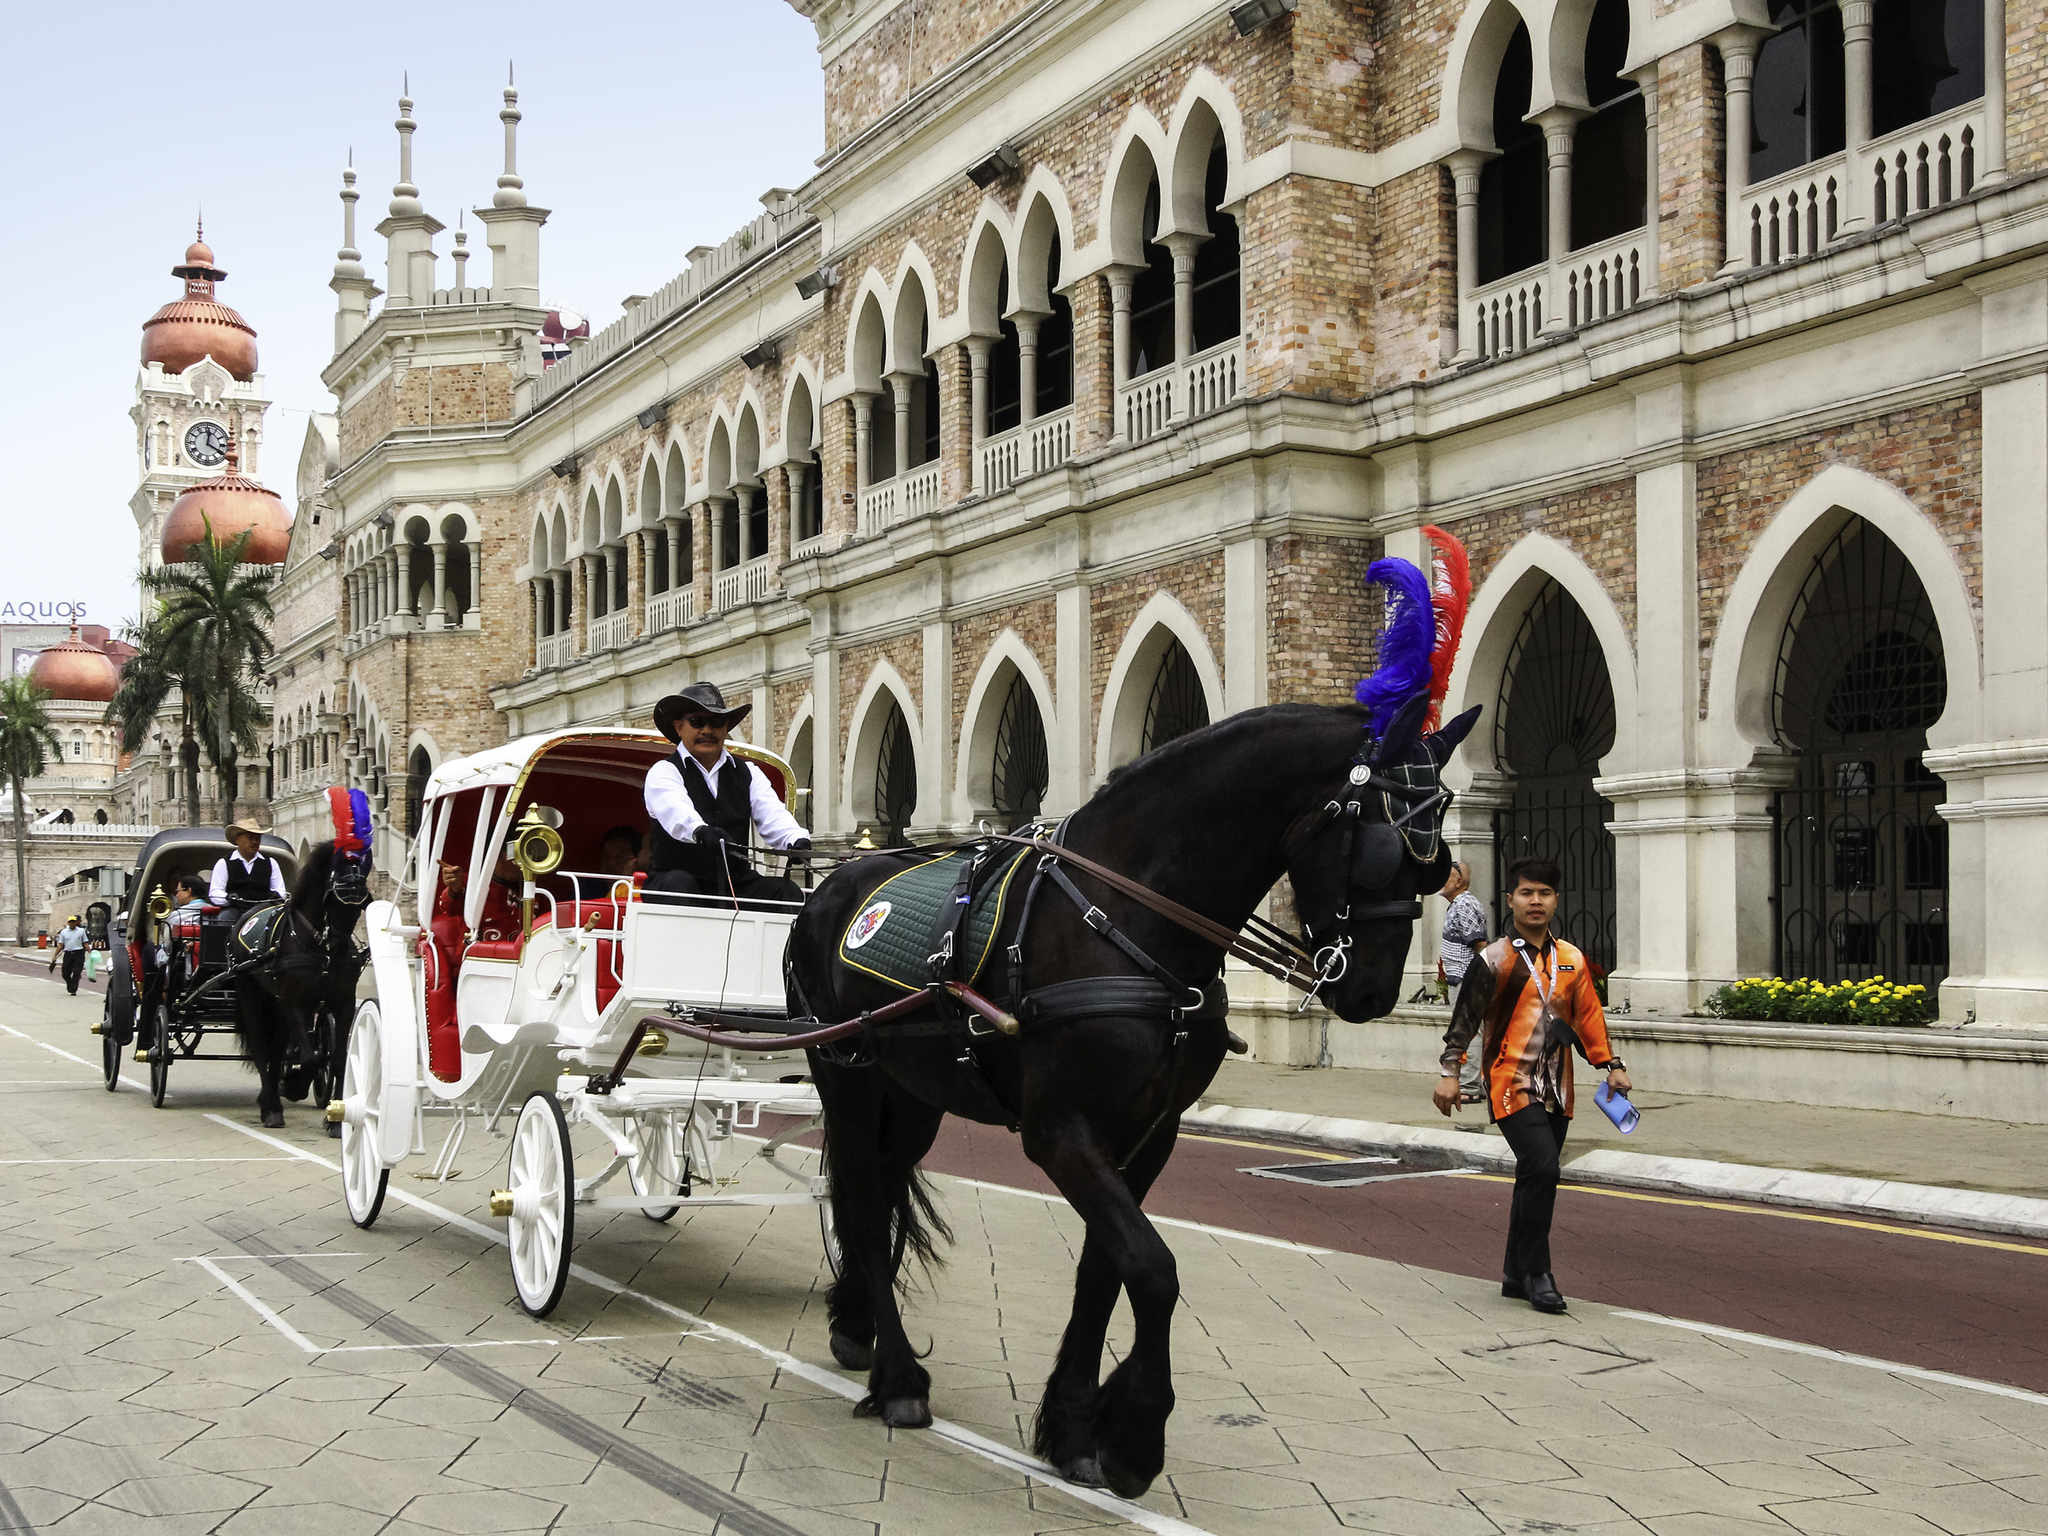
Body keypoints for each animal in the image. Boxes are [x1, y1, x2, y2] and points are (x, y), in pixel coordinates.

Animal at [232, 843, 372, 1130]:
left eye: (359, 904)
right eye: (331, 899)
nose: (339, 948)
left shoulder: (342, 1003)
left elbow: (338, 1058)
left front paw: (336, 1119)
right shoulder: (292, 1001)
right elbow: (310, 1057)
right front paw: (295, 1085)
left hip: (275, 1003)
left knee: (276, 1049)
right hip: (251, 994)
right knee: (261, 1047)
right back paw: (271, 1106)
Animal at [782, 692, 1474, 1499]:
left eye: (1437, 862)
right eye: (1381, 849)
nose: (1371, 993)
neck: (1131, 916)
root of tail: (830, 885)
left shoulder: (1151, 1131)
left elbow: (1105, 1271)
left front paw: (1075, 1425)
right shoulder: (1059, 1132)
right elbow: (1152, 1268)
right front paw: (1135, 1435)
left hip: (916, 1091)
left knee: (885, 1189)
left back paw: (855, 1323)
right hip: (848, 1075)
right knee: (862, 1204)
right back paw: (897, 1381)